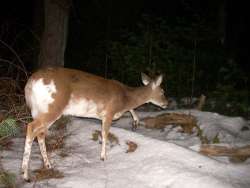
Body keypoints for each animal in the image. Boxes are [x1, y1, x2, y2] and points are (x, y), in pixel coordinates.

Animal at [20, 67, 167, 181]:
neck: (125, 97)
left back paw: (48, 165)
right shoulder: (108, 113)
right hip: (52, 106)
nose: (167, 103)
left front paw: (136, 121)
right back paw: (25, 174)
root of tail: (30, 83)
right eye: (162, 91)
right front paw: (103, 157)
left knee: (40, 133)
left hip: (39, 109)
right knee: (31, 128)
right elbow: (105, 133)